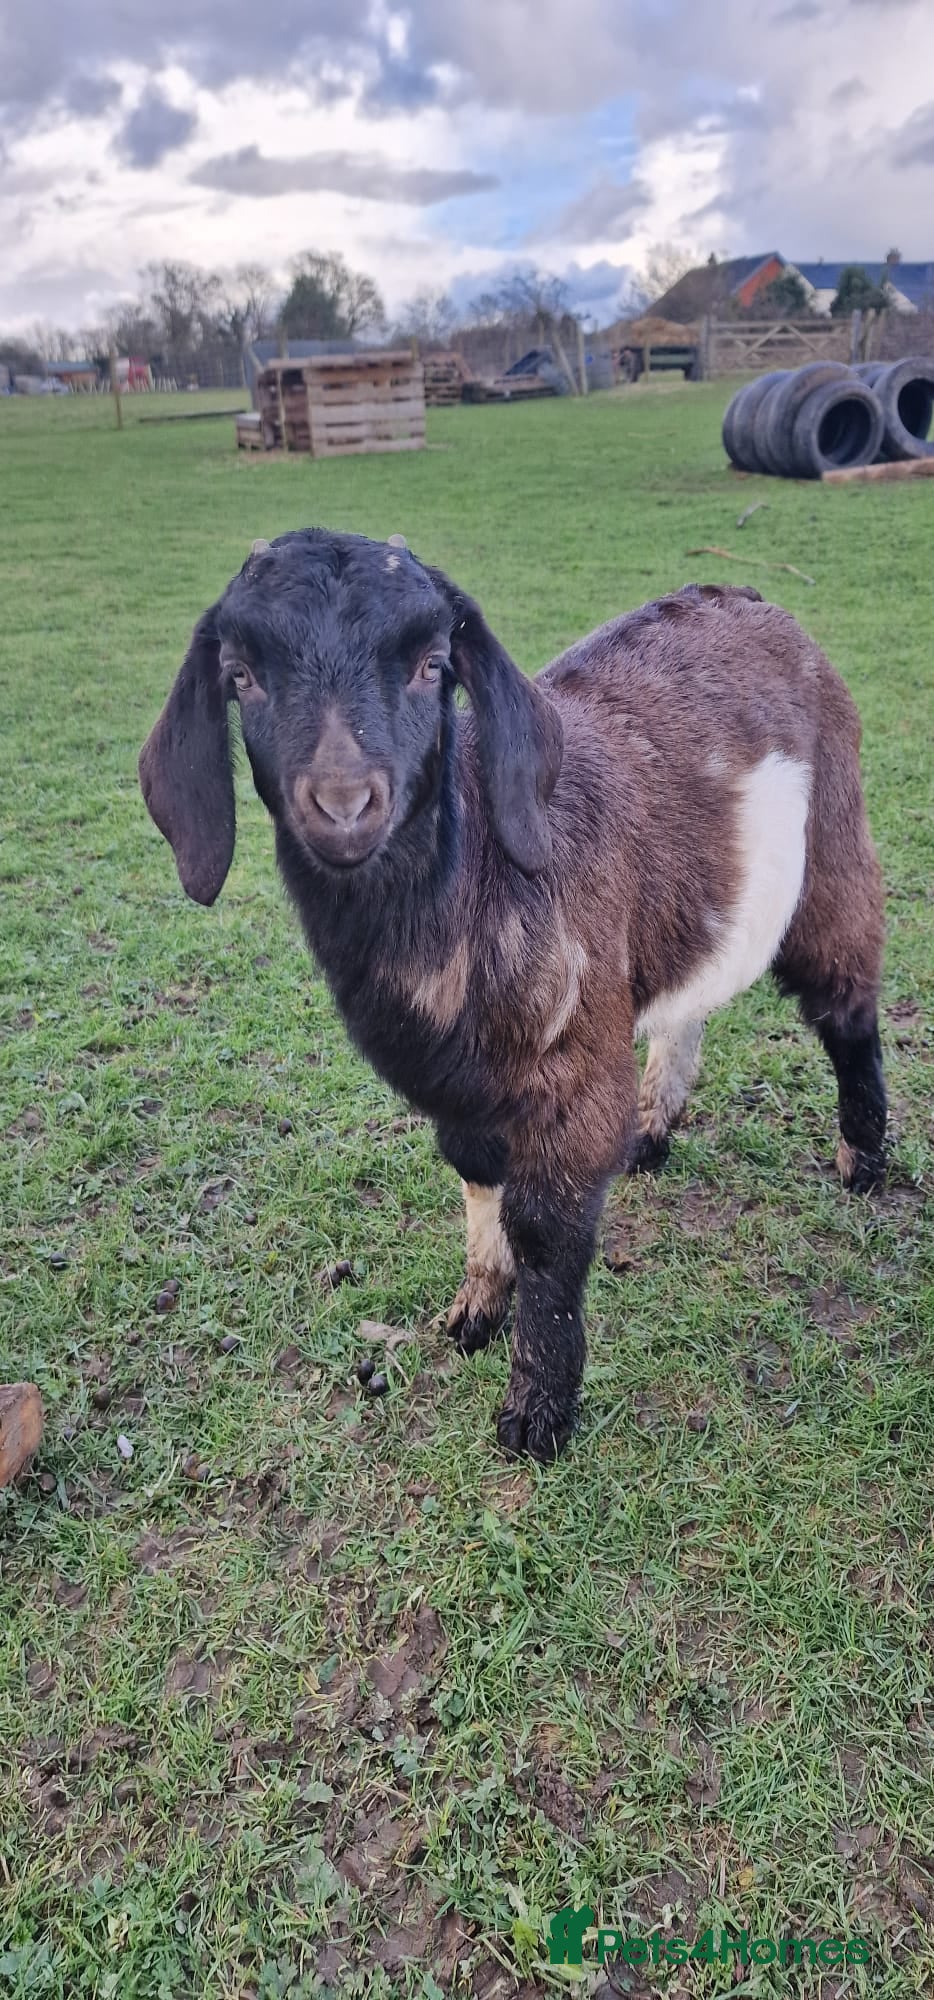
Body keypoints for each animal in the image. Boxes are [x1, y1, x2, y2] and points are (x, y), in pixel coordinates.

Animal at [139, 530, 887, 1461]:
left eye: (432, 665)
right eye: (242, 675)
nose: (344, 804)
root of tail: (749, 598)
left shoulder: (571, 1067)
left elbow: (546, 1228)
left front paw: (537, 1411)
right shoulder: (460, 1087)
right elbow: (477, 1178)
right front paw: (474, 1314)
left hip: (833, 847)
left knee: (847, 1001)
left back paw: (864, 1161)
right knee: (689, 1000)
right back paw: (652, 1131)